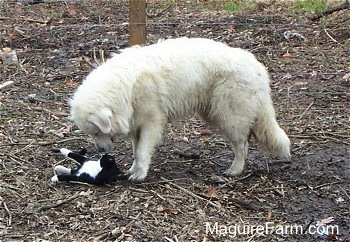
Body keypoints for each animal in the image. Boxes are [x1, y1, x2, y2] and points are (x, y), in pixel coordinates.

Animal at [69, 37, 292, 181]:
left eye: (96, 132)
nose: (100, 151)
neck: (124, 86)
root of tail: (258, 67)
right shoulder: (137, 122)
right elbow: (135, 150)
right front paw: (133, 170)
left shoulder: (151, 121)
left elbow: (141, 151)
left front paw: (139, 175)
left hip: (228, 115)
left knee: (242, 145)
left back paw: (234, 170)